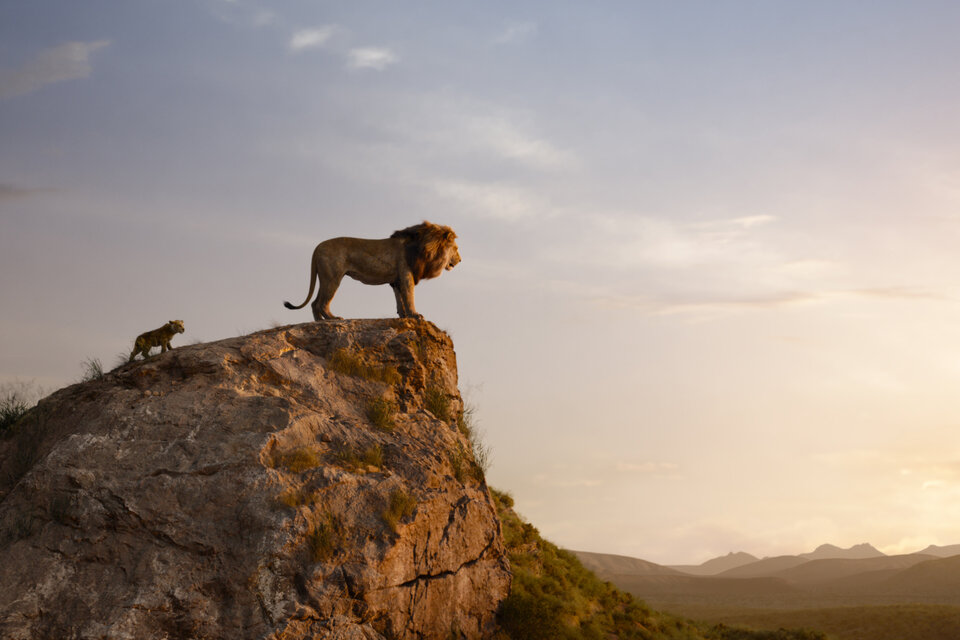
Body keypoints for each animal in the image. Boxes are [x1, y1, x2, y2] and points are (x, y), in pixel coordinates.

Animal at [284, 221, 460, 320]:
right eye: (456, 248)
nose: (460, 260)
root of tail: (317, 247)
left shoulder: (396, 280)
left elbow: (400, 300)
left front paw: (403, 316)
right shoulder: (406, 275)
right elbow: (409, 297)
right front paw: (415, 315)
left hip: (325, 277)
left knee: (314, 303)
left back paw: (320, 322)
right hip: (333, 277)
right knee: (321, 303)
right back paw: (333, 319)